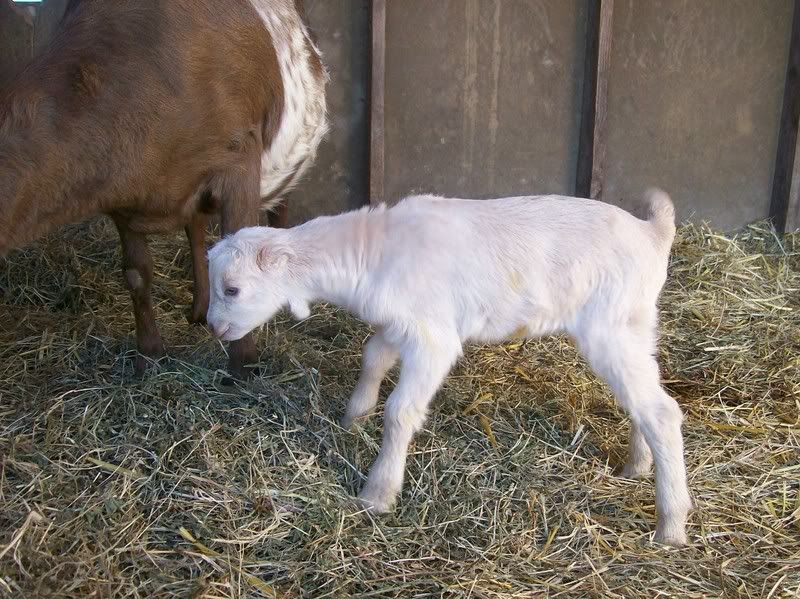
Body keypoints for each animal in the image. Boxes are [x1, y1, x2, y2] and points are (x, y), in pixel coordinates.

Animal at [0, 0, 327, 377]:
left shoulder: (240, 159)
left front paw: (243, 364)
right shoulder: (124, 200)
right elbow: (137, 274)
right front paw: (149, 355)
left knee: (279, 209)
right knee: (196, 229)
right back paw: (200, 307)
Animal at [206, 189, 691, 546]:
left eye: (231, 288)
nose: (212, 326)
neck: (374, 250)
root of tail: (654, 232)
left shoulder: (433, 339)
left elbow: (400, 411)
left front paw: (377, 494)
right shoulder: (400, 324)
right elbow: (373, 355)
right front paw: (354, 415)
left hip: (609, 328)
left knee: (662, 412)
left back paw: (670, 526)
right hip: (636, 327)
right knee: (646, 401)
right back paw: (637, 466)